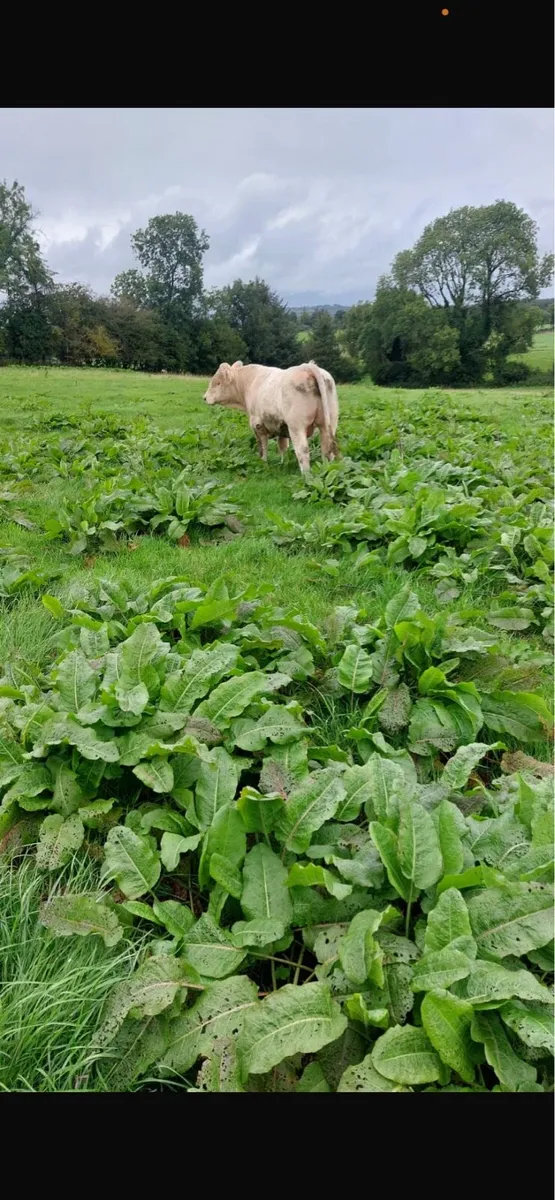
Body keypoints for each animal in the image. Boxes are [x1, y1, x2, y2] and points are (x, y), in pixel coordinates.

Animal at [203, 360, 340, 474]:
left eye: (218, 383)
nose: (204, 397)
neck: (249, 383)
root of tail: (307, 367)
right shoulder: (281, 427)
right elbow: (283, 447)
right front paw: (284, 464)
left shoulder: (258, 425)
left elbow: (262, 447)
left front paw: (263, 463)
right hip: (329, 424)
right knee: (327, 449)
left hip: (297, 427)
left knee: (303, 452)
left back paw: (307, 477)